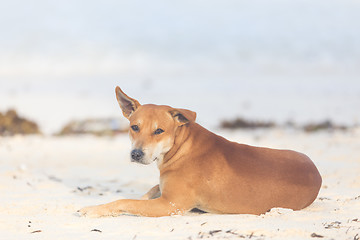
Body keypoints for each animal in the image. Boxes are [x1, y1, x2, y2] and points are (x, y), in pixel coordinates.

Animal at [78, 86, 320, 218]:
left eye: (159, 130)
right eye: (134, 127)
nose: (136, 154)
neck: (181, 148)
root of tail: (316, 172)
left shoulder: (170, 205)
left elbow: (126, 202)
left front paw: (94, 209)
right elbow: (148, 191)